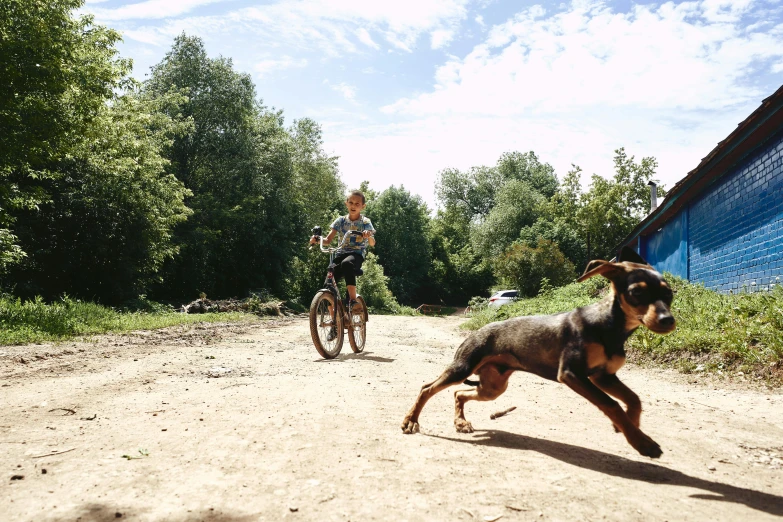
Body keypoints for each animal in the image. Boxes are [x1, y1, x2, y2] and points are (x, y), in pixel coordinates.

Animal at [402, 247, 676, 456]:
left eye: (669, 293)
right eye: (636, 292)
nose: (668, 321)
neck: (608, 326)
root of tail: (476, 331)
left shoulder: (603, 376)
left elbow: (633, 399)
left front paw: (630, 426)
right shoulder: (572, 374)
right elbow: (612, 404)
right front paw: (641, 441)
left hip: (493, 386)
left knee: (459, 393)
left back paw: (460, 422)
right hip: (463, 367)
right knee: (427, 388)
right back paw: (411, 420)